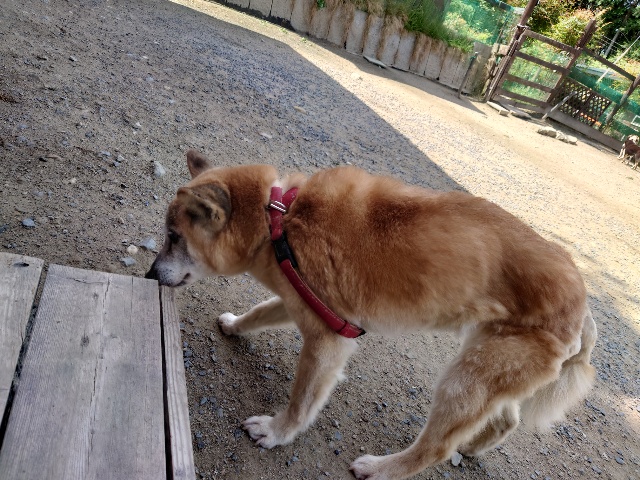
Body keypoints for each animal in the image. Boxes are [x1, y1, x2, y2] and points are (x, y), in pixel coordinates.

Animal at [146, 150, 597, 480]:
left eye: (173, 237)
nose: (149, 274)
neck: (278, 220)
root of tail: (583, 308)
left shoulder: (328, 340)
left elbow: (301, 402)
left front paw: (276, 432)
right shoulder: (304, 303)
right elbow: (259, 312)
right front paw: (236, 326)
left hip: (463, 380)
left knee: (436, 447)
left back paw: (381, 468)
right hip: (488, 366)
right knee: (507, 419)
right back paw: (471, 445)